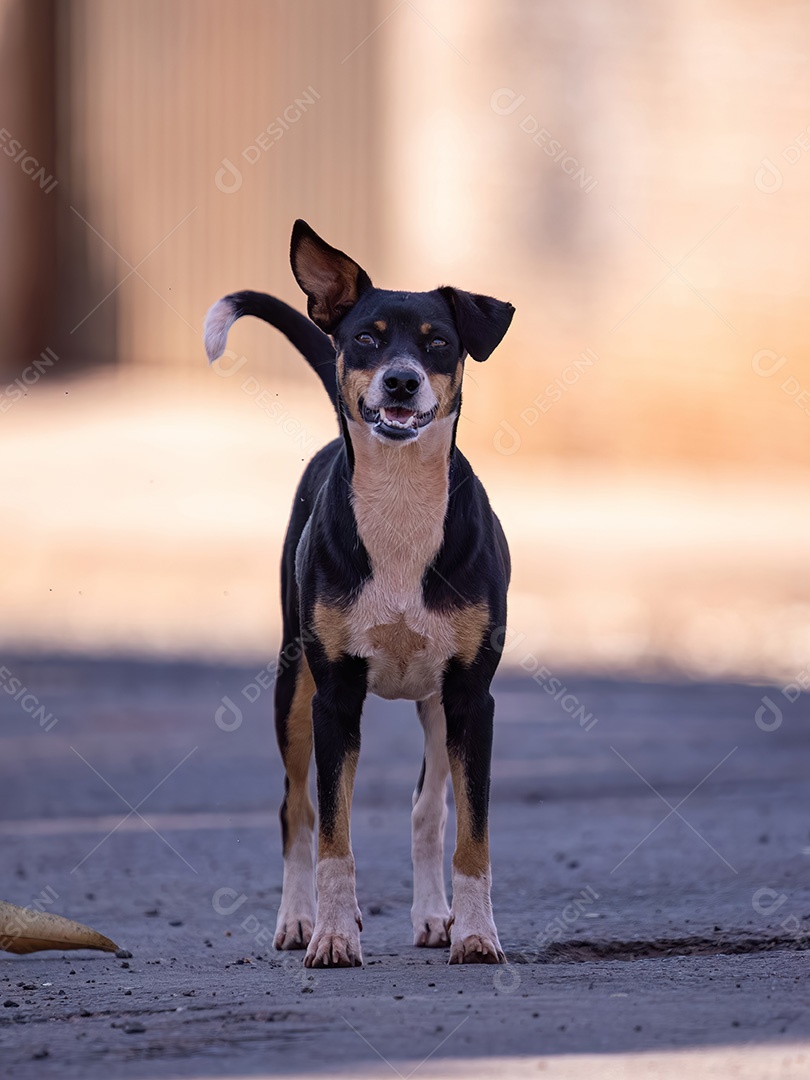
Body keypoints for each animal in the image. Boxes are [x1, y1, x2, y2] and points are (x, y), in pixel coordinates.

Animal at [204, 223, 514, 967]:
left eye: (438, 342)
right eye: (367, 339)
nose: (400, 380)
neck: (399, 505)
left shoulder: (472, 696)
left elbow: (473, 837)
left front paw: (477, 935)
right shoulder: (335, 695)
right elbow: (331, 837)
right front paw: (334, 936)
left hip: (435, 705)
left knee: (427, 811)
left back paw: (434, 918)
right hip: (293, 685)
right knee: (296, 810)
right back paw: (296, 921)